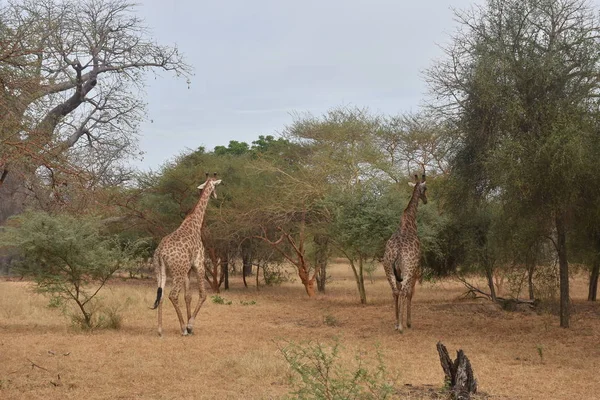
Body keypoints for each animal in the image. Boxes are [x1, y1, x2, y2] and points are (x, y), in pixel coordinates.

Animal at [152, 172, 223, 334]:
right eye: (216, 186)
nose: (216, 196)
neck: (195, 224)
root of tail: (160, 253)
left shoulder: (188, 269)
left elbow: (188, 296)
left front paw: (191, 326)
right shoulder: (199, 264)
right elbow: (203, 295)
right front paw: (190, 325)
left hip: (161, 271)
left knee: (161, 295)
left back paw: (160, 329)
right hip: (177, 272)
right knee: (172, 295)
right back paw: (183, 328)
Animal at [382, 173, 428, 332]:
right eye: (426, 188)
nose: (426, 200)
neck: (409, 224)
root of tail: (397, 253)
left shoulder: (399, 273)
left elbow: (400, 290)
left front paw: (398, 322)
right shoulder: (416, 268)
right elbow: (410, 293)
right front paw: (408, 322)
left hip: (388, 268)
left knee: (395, 291)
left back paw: (397, 324)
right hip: (408, 269)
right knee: (403, 291)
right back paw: (402, 326)